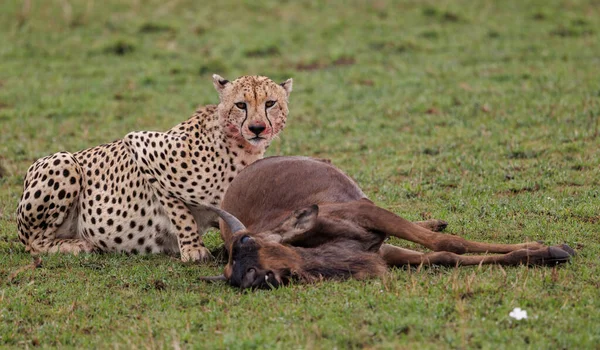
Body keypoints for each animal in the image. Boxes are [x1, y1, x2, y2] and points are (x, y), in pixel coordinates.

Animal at [15, 74, 292, 262]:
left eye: (270, 103)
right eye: (240, 105)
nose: (257, 128)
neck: (240, 147)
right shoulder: (140, 146)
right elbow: (182, 214)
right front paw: (193, 249)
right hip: (64, 162)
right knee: (34, 242)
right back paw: (76, 245)